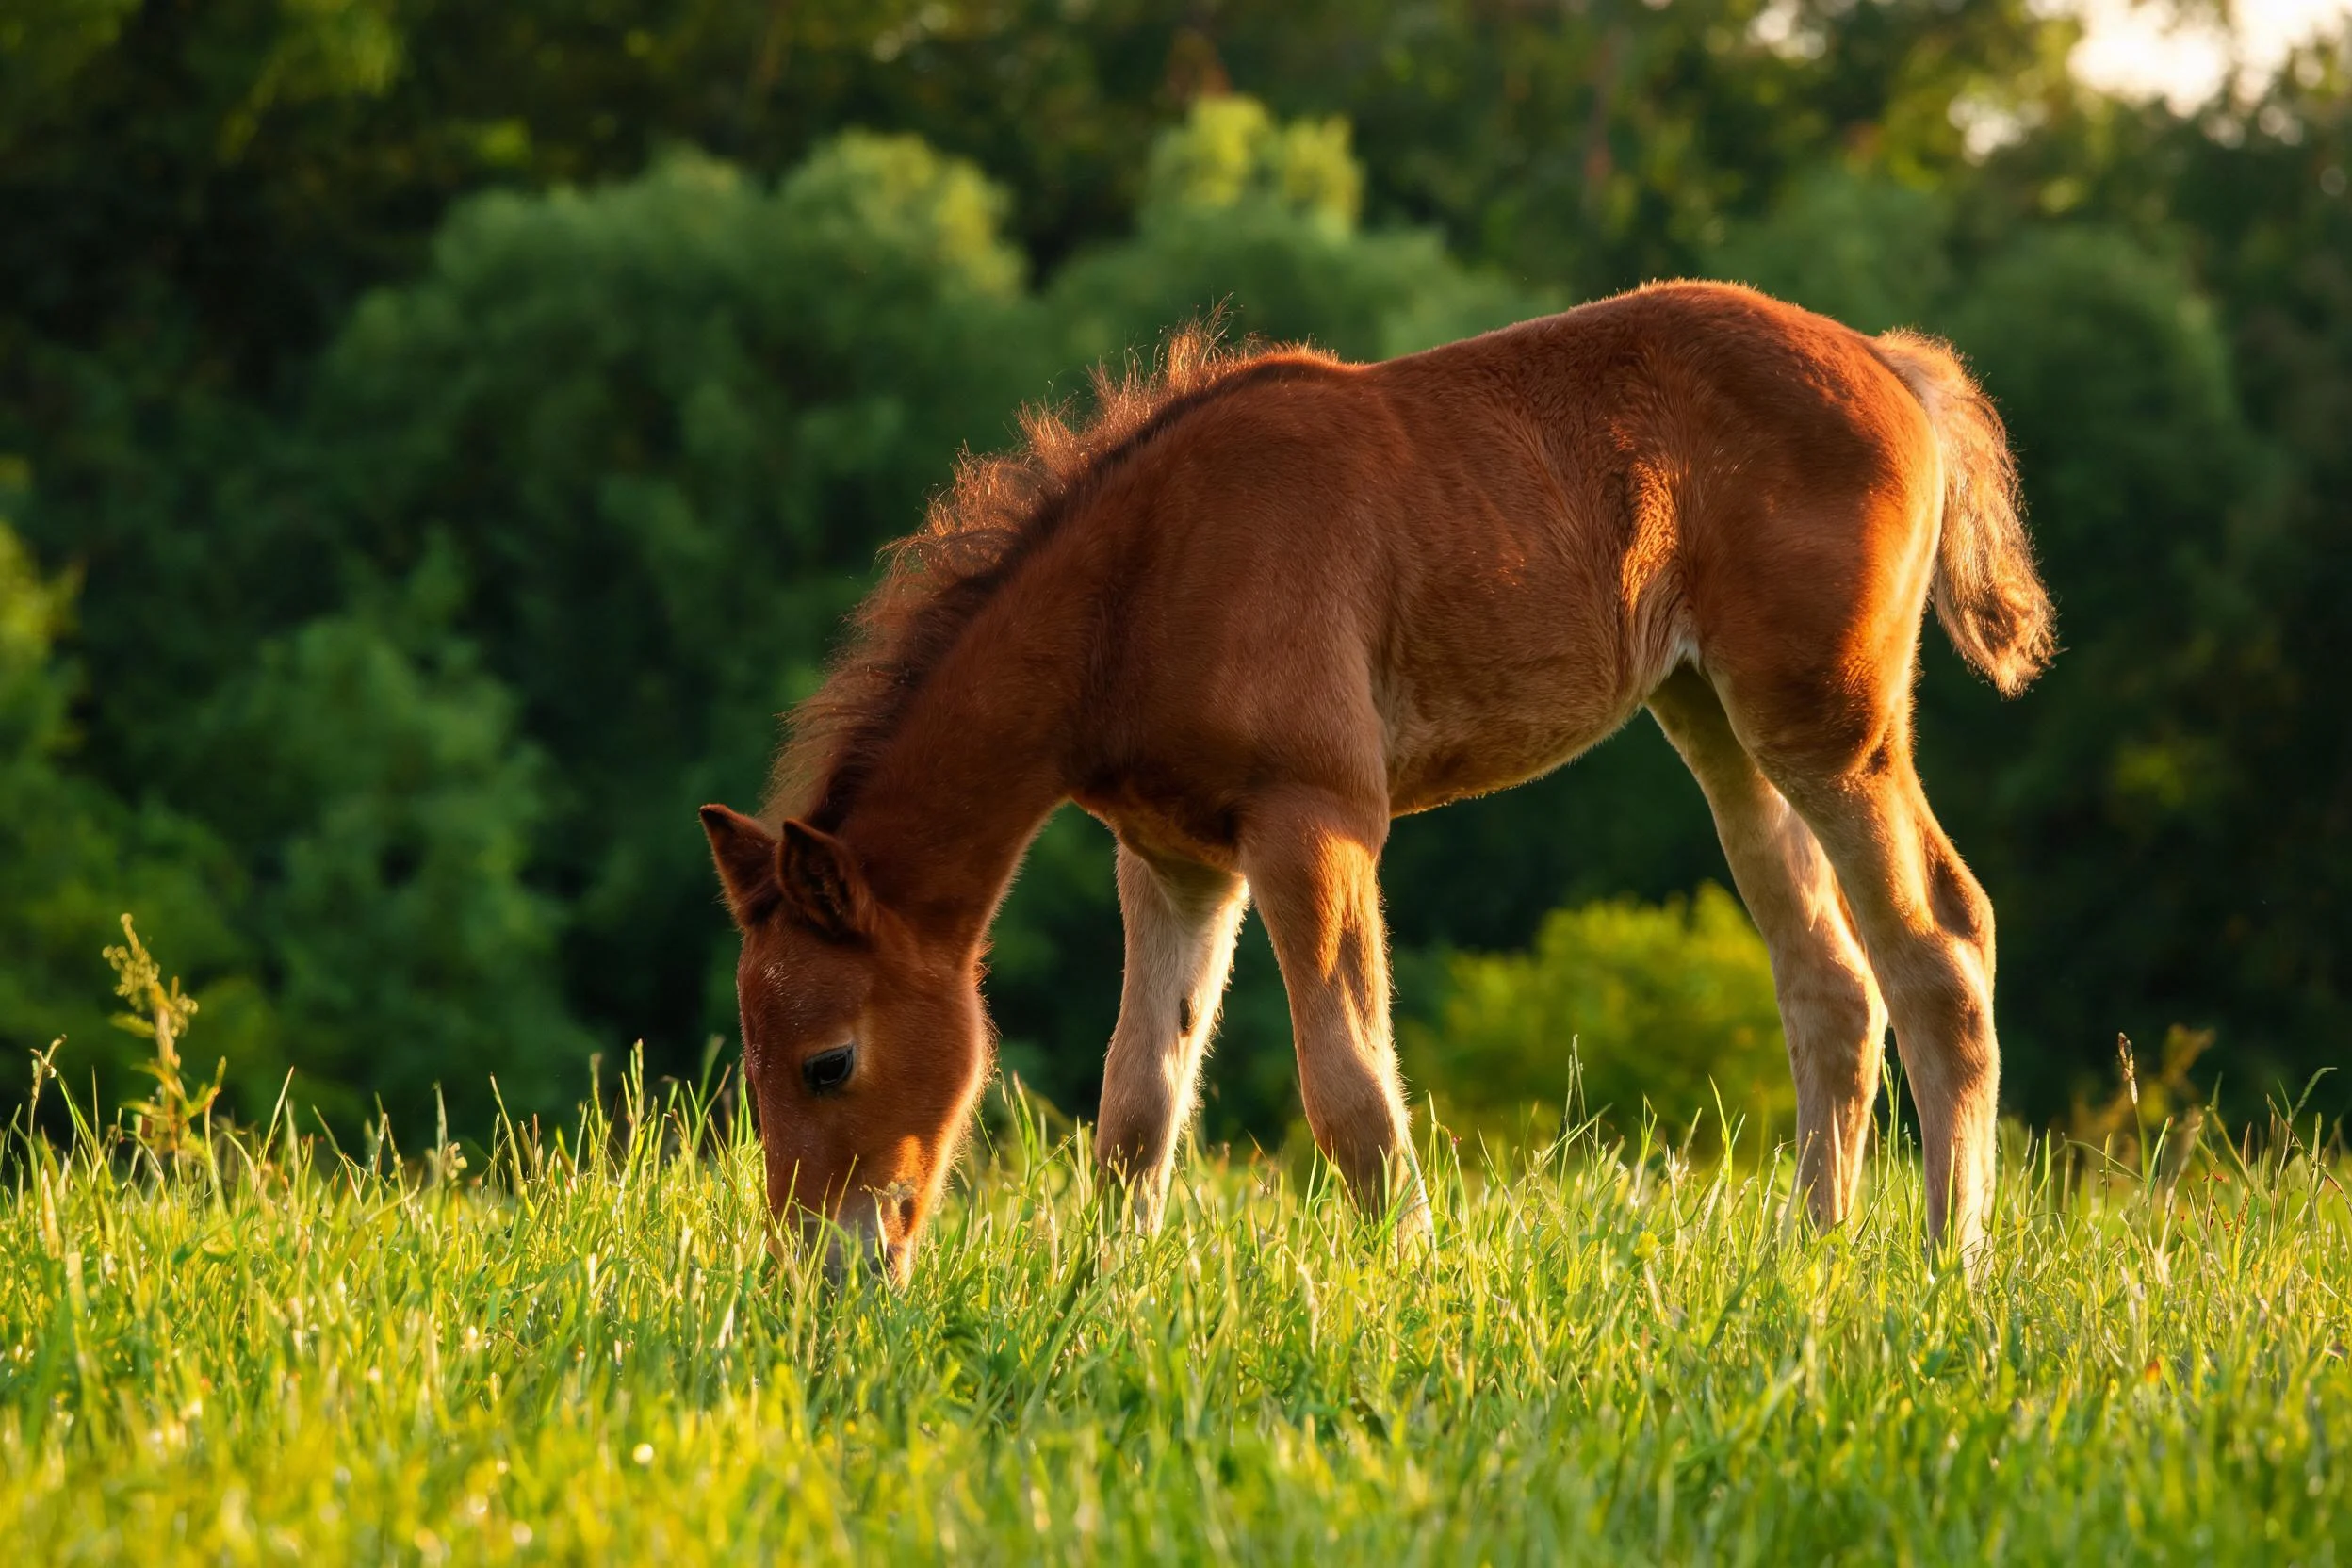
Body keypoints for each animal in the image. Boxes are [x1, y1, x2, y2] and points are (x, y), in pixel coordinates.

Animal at [701, 280, 2055, 1284]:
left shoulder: (1318, 818)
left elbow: (1348, 1081)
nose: (817, 1273)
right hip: (1716, 722)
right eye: (754, 1064)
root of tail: (1892, 364)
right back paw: (1807, 1256)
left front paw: (1411, 1281)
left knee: (1940, 943)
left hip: (1829, 723)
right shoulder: (1174, 859)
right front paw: (1103, 1294)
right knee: (1829, 980)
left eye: (830, 1061)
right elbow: (1140, 1099)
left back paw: (1949, 1266)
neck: (1140, 586)